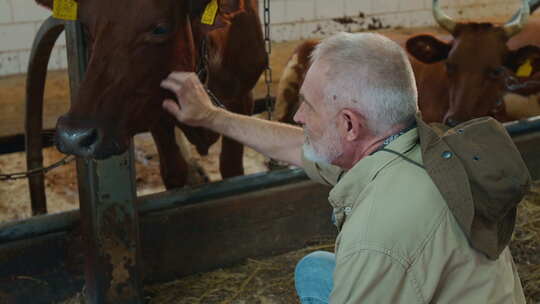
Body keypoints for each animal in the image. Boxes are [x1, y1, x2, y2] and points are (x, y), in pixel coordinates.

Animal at [34, 0, 266, 189]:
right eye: (87, 28)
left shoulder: (242, 99)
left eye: (160, 29)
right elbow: (173, 172)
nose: (74, 136)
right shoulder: (152, 111)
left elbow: (232, 169)